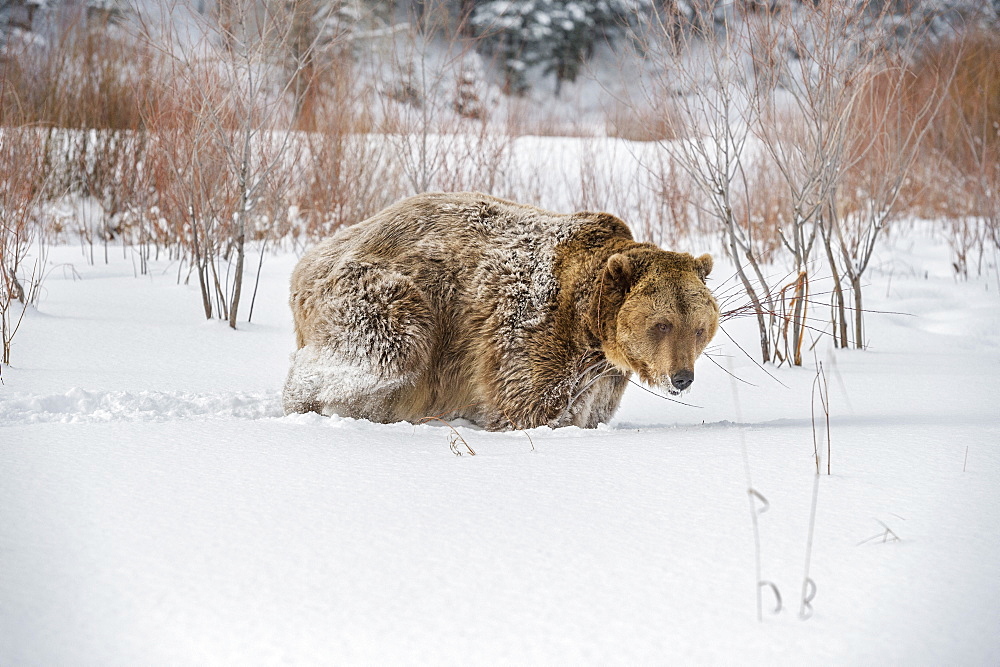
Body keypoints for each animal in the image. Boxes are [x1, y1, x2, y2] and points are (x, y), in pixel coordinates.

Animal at [282, 192, 720, 434]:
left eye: (699, 328)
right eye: (661, 324)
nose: (682, 377)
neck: (590, 325)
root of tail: (310, 259)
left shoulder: (602, 373)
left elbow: (588, 410)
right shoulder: (529, 327)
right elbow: (524, 404)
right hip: (390, 293)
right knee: (383, 352)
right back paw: (300, 402)